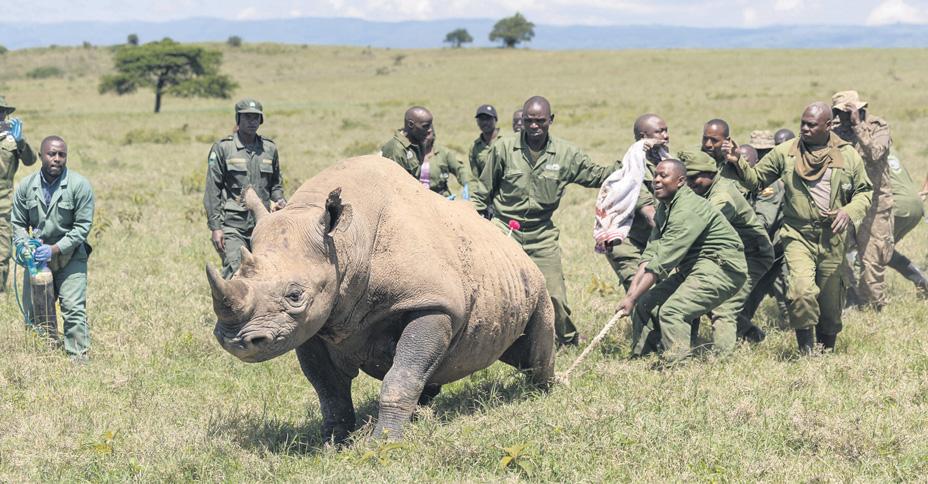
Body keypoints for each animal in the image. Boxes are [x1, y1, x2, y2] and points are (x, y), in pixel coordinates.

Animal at [206, 155, 555, 442]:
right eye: (235, 276)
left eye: (295, 295)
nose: (238, 341)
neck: (345, 243)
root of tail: (509, 239)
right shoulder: (314, 323)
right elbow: (328, 389)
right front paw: (333, 443)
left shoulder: (432, 302)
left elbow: (401, 376)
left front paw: (382, 444)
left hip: (535, 279)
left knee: (537, 349)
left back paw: (543, 393)